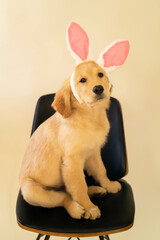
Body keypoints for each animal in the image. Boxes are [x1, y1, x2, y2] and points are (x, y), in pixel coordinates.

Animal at [19, 21, 129, 220]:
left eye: (100, 74)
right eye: (82, 80)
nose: (99, 89)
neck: (90, 116)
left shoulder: (93, 153)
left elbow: (101, 171)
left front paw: (108, 185)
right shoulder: (72, 162)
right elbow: (79, 186)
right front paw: (89, 207)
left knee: (65, 191)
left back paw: (95, 190)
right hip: (31, 190)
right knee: (62, 197)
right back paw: (77, 208)